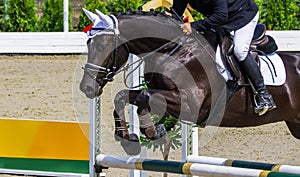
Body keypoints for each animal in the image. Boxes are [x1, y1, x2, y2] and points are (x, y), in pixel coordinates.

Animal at [79, 9, 300, 155]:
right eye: (89, 43)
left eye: (104, 45)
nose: (87, 88)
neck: (173, 49)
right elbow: (122, 96)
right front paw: (128, 139)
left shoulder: (191, 103)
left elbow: (143, 96)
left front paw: (152, 130)